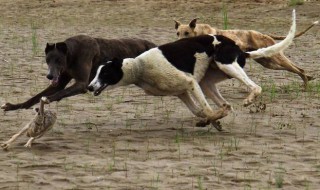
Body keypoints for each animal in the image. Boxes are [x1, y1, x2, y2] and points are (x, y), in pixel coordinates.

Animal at [87, 10, 296, 129]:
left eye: (105, 73)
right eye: (96, 72)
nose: (89, 87)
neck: (140, 67)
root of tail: (239, 49)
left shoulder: (190, 83)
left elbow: (206, 110)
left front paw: (212, 120)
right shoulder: (182, 92)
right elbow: (200, 111)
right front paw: (211, 121)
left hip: (226, 64)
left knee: (255, 87)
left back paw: (249, 99)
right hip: (207, 82)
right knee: (226, 104)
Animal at [175, 17, 318, 87]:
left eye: (186, 33)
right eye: (178, 33)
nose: (178, 43)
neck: (199, 32)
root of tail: (264, 34)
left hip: (276, 58)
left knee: (299, 70)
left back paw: (306, 84)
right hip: (269, 63)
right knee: (297, 69)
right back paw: (309, 78)